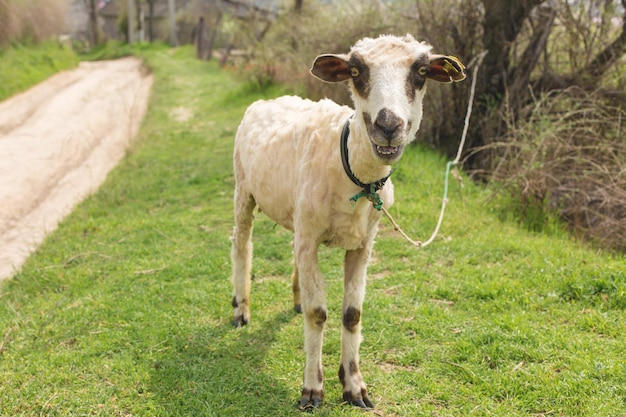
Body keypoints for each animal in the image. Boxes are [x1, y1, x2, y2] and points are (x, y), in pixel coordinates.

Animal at [229, 33, 464, 410]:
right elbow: (318, 314)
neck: (354, 171)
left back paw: (295, 299)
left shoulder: (361, 245)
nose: (388, 126)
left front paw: (354, 387)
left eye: (422, 72)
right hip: (243, 190)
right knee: (241, 244)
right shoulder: (311, 238)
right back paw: (240, 310)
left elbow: (352, 314)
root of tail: (270, 99)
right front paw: (312, 389)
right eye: (355, 72)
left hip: (297, 217)